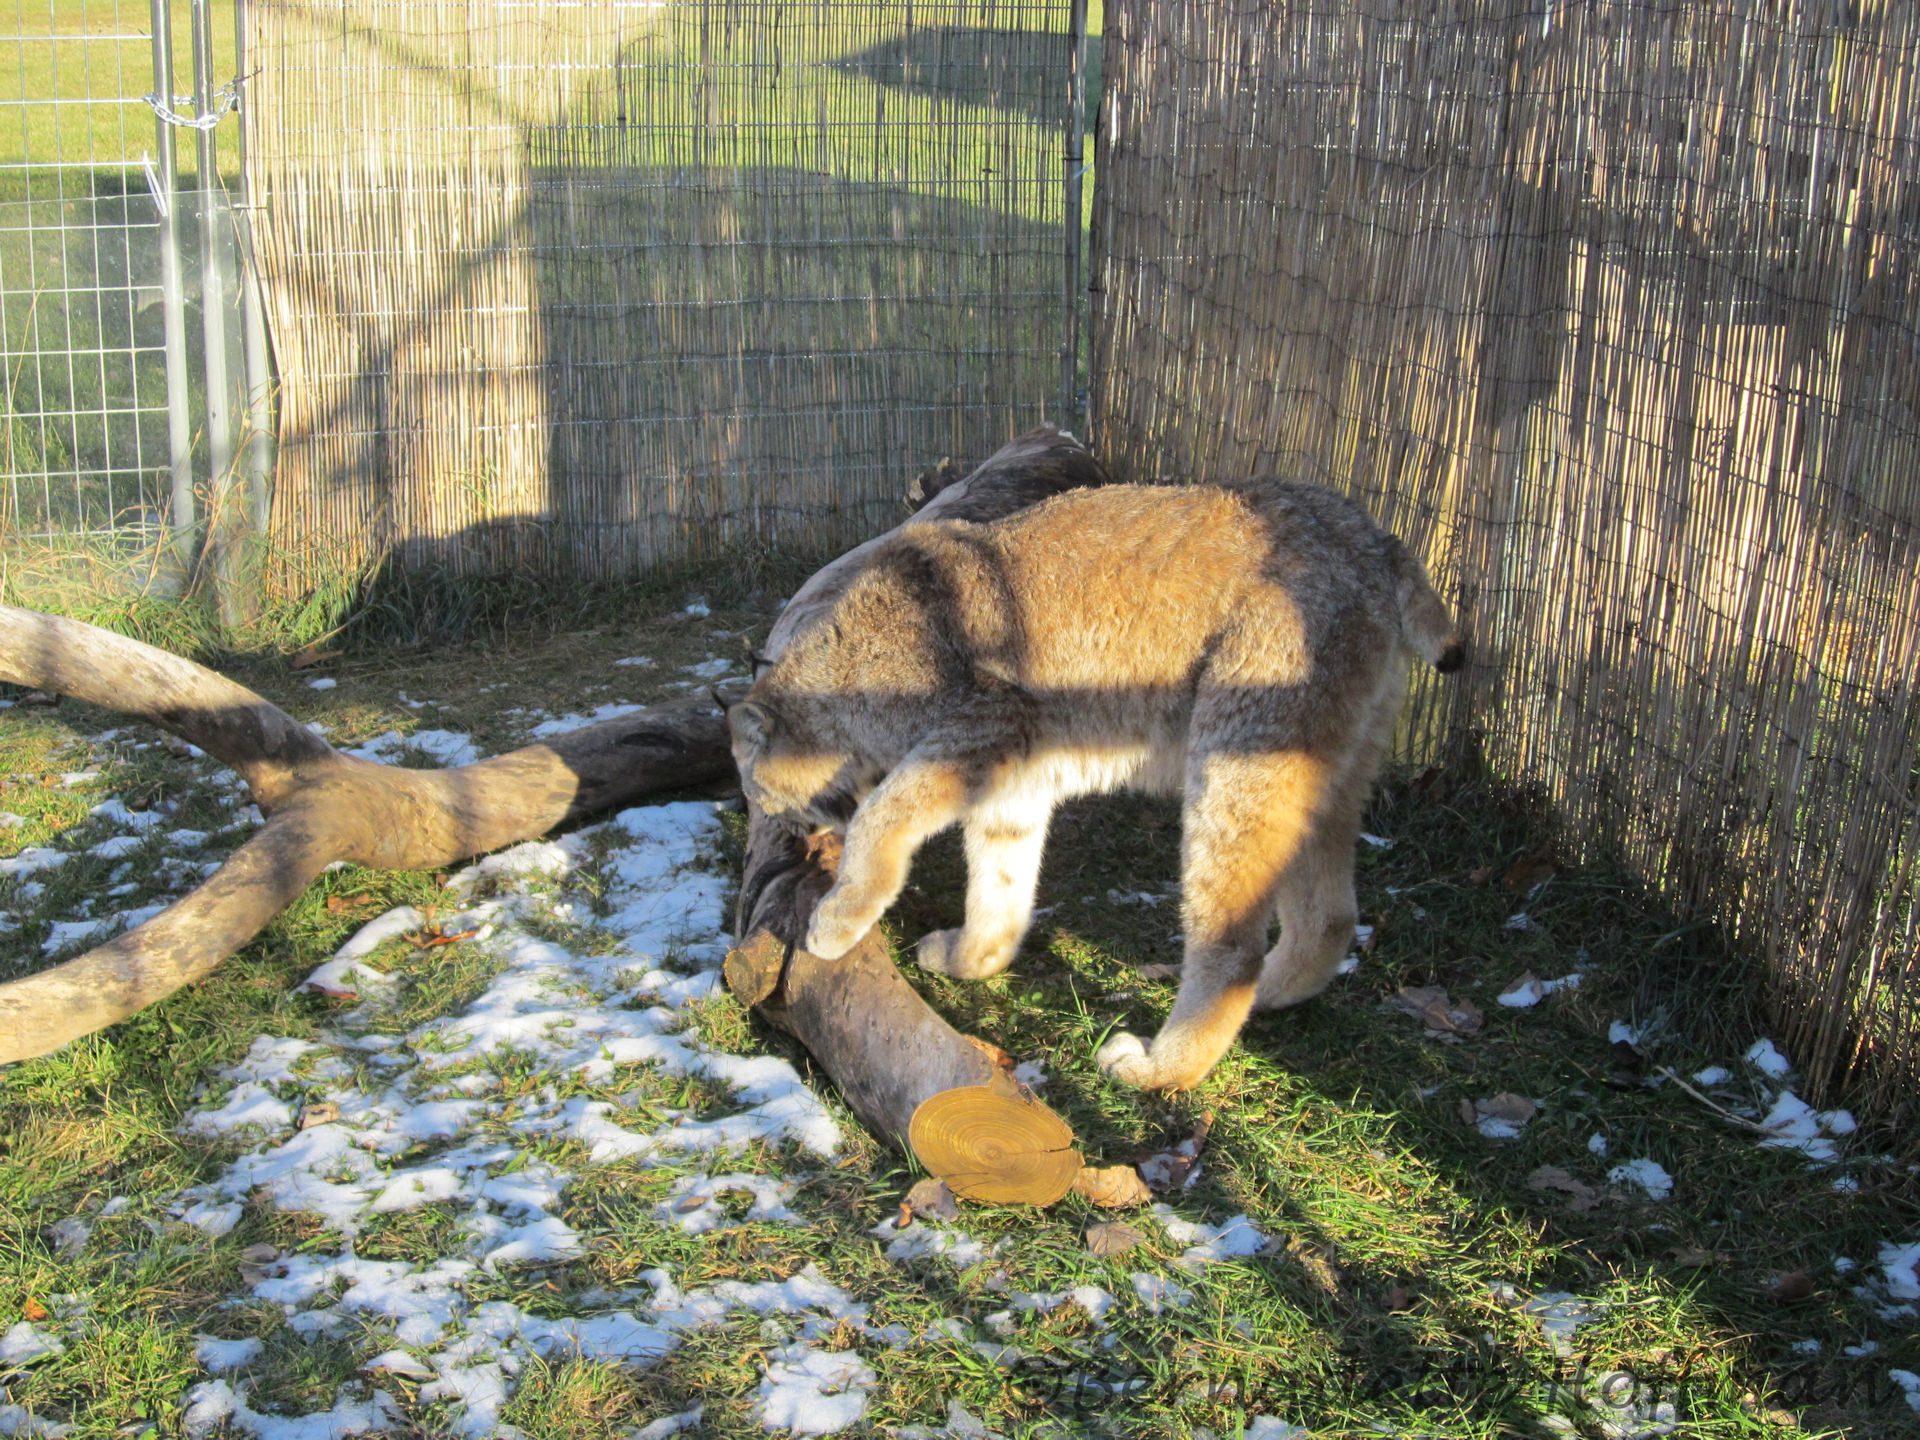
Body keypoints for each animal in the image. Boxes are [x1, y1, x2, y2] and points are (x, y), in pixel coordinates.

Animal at [727, 478, 1461, 1091]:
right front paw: (972, 958)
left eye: (763, 799)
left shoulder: (985, 720)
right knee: (1331, 915)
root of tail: (1373, 534)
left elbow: (883, 813)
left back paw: (1160, 1068)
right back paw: (1272, 998)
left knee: (1232, 944)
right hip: (1333, 763)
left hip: (1237, 754)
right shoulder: (1012, 780)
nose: (798, 833)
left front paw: (834, 920)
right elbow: (1000, 885)